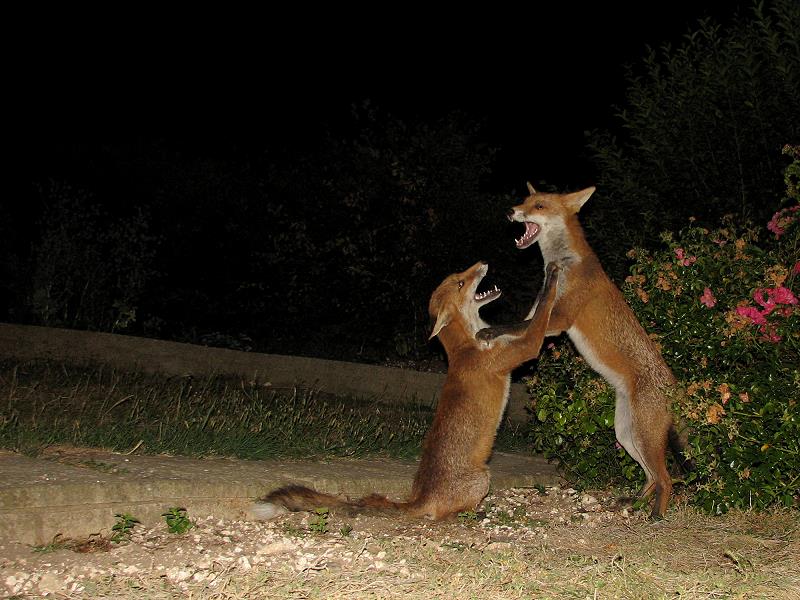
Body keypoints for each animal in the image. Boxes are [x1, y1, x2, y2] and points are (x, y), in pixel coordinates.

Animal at [253, 262, 560, 520]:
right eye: (461, 282)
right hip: (482, 477)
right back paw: (475, 513)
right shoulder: (522, 350)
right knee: (444, 514)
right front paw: (553, 277)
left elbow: (532, 313)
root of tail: (420, 498)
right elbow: (542, 316)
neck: (469, 344)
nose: (482, 262)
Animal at [478, 185, 692, 516]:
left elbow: (513, 326)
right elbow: (515, 327)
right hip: (626, 434)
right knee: (652, 477)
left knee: (667, 478)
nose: (510, 211)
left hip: (644, 435)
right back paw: (634, 502)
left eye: (539, 205)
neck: (564, 262)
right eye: (525, 200)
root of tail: (673, 385)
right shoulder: (538, 315)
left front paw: (488, 333)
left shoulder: (560, 319)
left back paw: (656, 515)